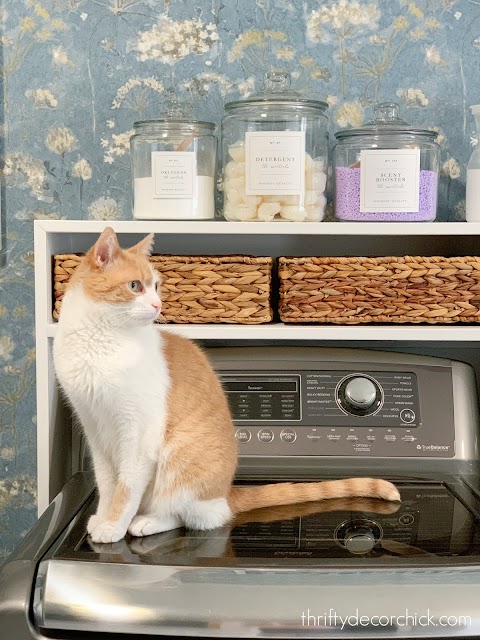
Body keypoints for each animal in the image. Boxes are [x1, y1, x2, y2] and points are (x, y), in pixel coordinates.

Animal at [52, 228, 400, 544]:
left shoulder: (137, 435)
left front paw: (115, 526)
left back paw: (148, 521)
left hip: (179, 459)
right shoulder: (95, 428)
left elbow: (126, 488)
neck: (101, 341)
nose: (157, 305)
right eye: (135, 286)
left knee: (191, 514)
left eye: (156, 286)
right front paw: (103, 517)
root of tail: (226, 492)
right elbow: (107, 484)